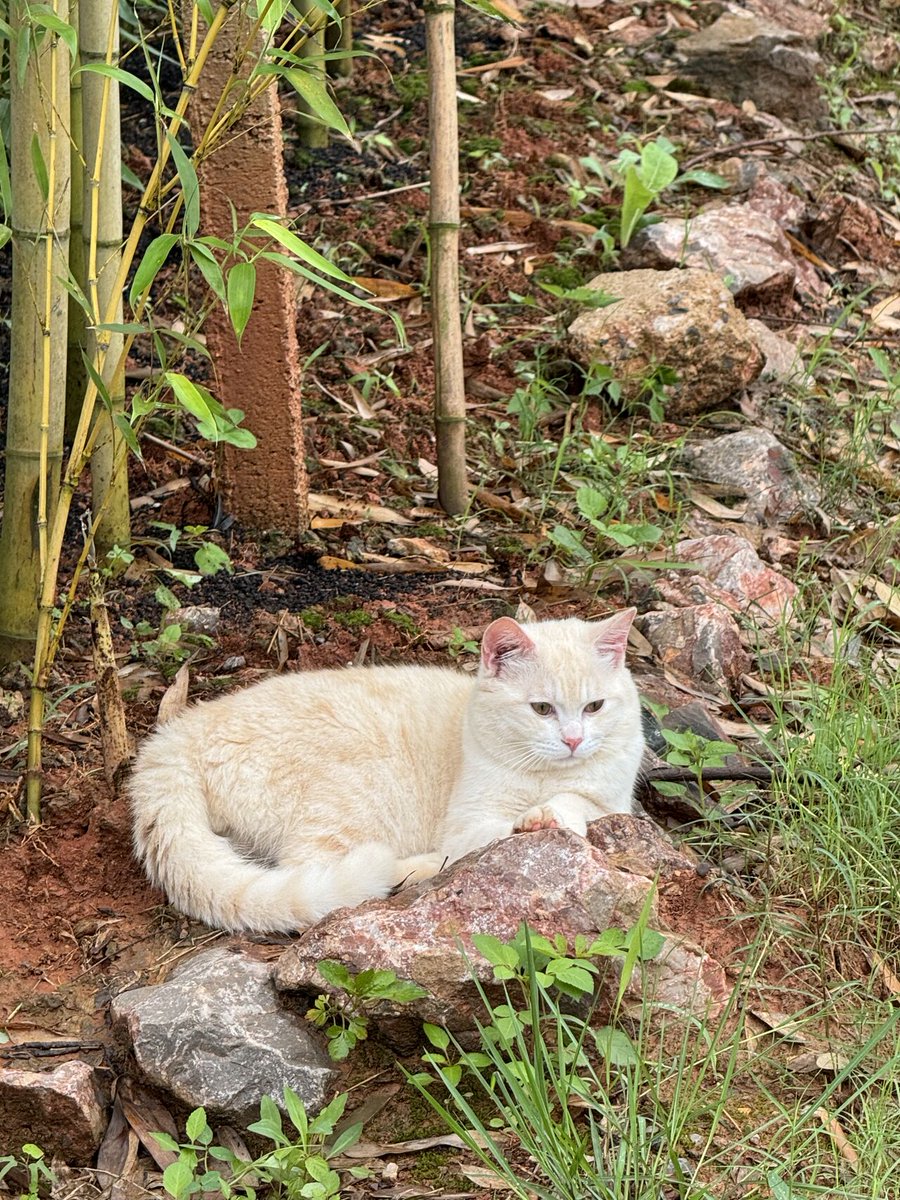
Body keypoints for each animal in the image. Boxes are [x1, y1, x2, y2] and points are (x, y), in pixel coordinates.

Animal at [130, 614, 643, 931]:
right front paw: (534, 821)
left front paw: (551, 813)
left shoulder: (615, 801)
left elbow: (583, 804)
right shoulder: (468, 823)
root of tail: (173, 737)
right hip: (354, 797)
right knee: (313, 869)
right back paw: (419, 869)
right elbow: (498, 833)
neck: (546, 775)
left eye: (595, 706)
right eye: (541, 709)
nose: (574, 740)